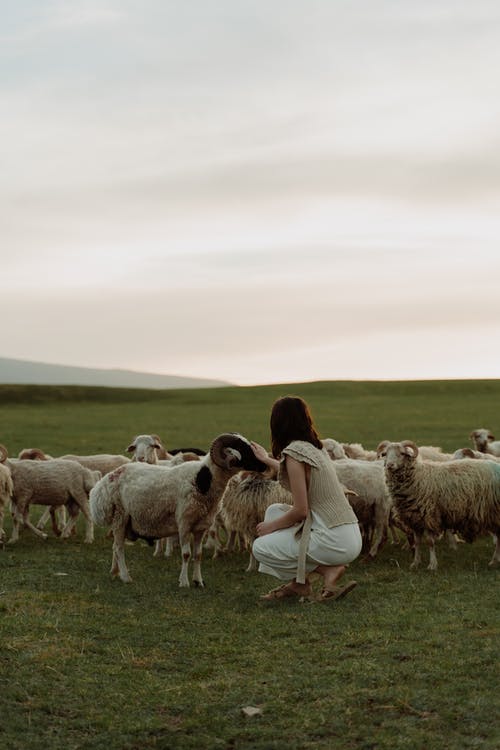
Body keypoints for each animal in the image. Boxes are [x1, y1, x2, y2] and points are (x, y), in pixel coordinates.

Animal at [90, 434, 270, 588]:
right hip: (120, 516)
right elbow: (186, 554)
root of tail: (105, 482)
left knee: (115, 547)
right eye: (243, 450)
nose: (265, 465)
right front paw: (184, 582)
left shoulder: (200, 527)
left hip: (122, 520)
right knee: (119, 548)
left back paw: (115, 572)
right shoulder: (184, 523)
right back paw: (126, 577)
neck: (202, 480)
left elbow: (198, 555)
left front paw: (198, 581)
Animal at [378, 440, 500, 568]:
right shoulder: (415, 519)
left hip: (495, 511)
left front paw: (432, 564)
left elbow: (430, 542)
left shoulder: (429, 516)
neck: (418, 477)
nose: (390, 465)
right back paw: (495, 560)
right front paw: (415, 563)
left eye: (402, 453)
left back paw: (493, 560)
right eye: (385, 454)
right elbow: (417, 542)